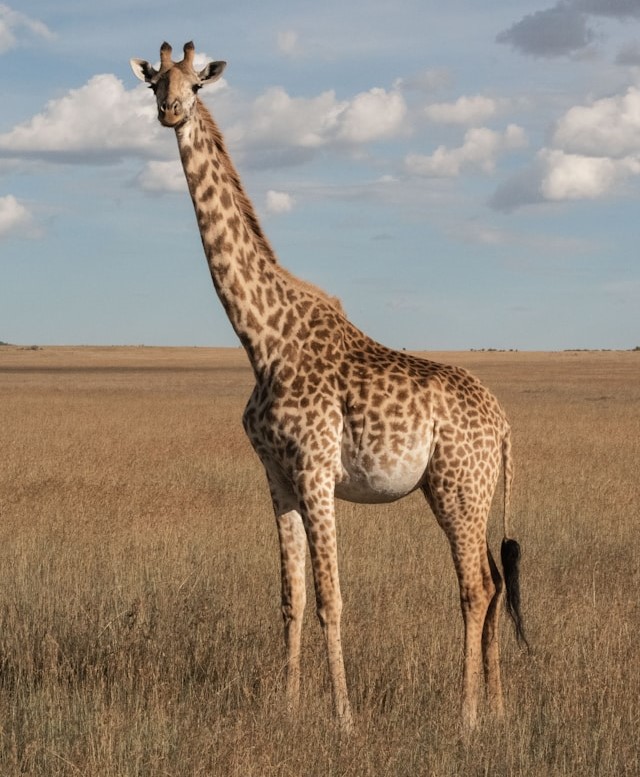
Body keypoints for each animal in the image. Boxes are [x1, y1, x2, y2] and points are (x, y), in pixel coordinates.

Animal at [130, 42, 527, 732]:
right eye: (155, 81)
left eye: (197, 83)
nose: (170, 111)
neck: (261, 339)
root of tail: (502, 425)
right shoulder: (277, 475)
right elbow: (291, 597)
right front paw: (287, 708)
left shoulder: (316, 470)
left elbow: (330, 599)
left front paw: (344, 719)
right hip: (455, 489)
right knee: (494, 581)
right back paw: (499, 709)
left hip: (460, 486)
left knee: (476, 586)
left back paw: (466, 717)